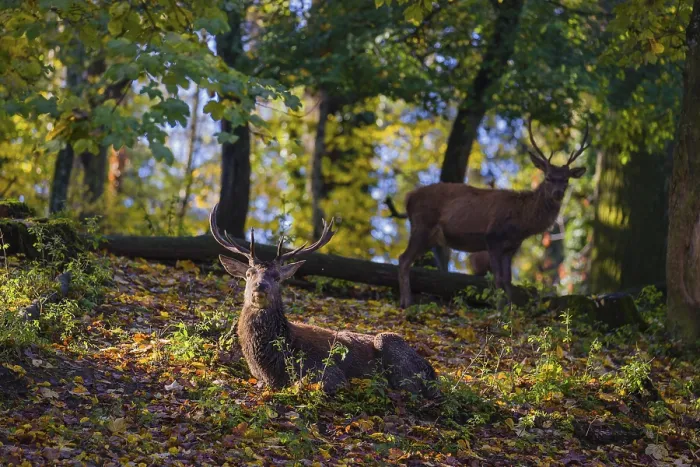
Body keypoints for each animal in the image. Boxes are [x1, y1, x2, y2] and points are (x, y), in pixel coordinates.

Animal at [209, 204, 437, 397]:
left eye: (277, 277)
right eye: (249, 274)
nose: (260, 286)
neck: (271, 363)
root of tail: (433, 373)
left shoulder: (328, 371)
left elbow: (303, 383)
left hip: (390, 344)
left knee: (410, 388)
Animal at [394, 120, 590, 308]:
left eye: (566, 179)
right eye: (548, 177)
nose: (558, 193)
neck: (522, 223)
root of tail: (408, 198)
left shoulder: (511, 247)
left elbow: (508, 281)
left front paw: (510, 311)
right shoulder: (492, 237)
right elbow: (497, 280)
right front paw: (498, 310)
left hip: (431, 237)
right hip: (422, 225)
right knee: (403, 259)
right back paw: (406, 302)